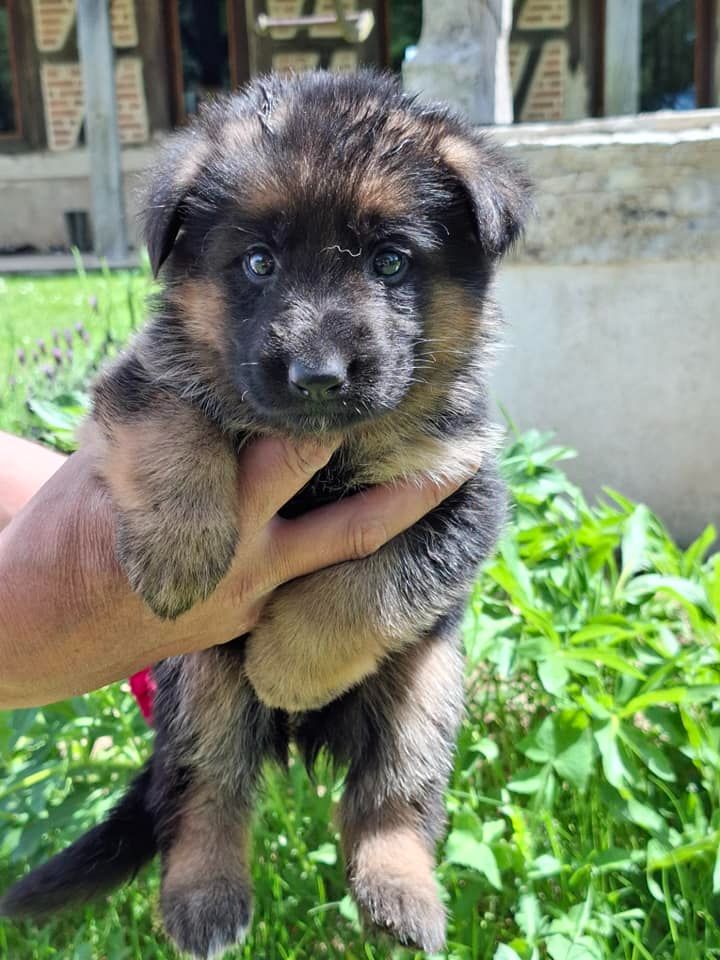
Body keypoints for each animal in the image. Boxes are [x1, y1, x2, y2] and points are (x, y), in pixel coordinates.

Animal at [0, 71, 528, 956]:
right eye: (258, 262)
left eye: (391, 262)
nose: (317, 376)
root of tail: (301, 738)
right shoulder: (141, 378)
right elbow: (175, 417)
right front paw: (180, 553)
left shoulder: (457, 491)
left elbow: (372, 582)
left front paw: (288, 663)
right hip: (200, 686)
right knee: (206, 795)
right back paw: (205, 899)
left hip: (426, 687)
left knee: (393, 801)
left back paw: (399, 891)